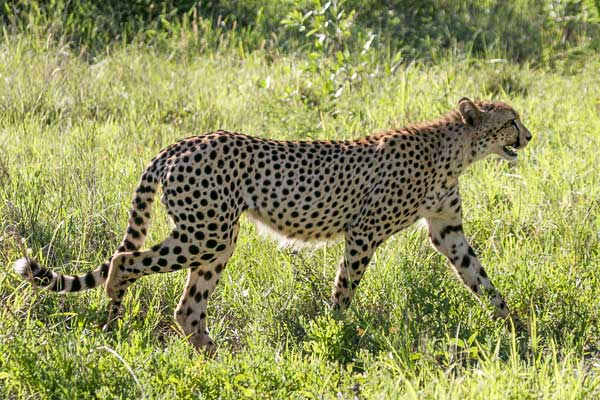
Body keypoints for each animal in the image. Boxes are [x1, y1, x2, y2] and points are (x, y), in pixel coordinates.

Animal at [12, 98, 528, 352]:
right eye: (511, 120)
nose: (528, 135)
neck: (457, 149)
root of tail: (182, 142)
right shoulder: (363, 233)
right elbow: (344, 292)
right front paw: (334, 334)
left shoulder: (448, 231)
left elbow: (483, 281)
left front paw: (519, 328)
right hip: (205, 232)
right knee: (124, 259)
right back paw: (114, 320)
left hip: (216, 240)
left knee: (187, 308)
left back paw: (218, 358)